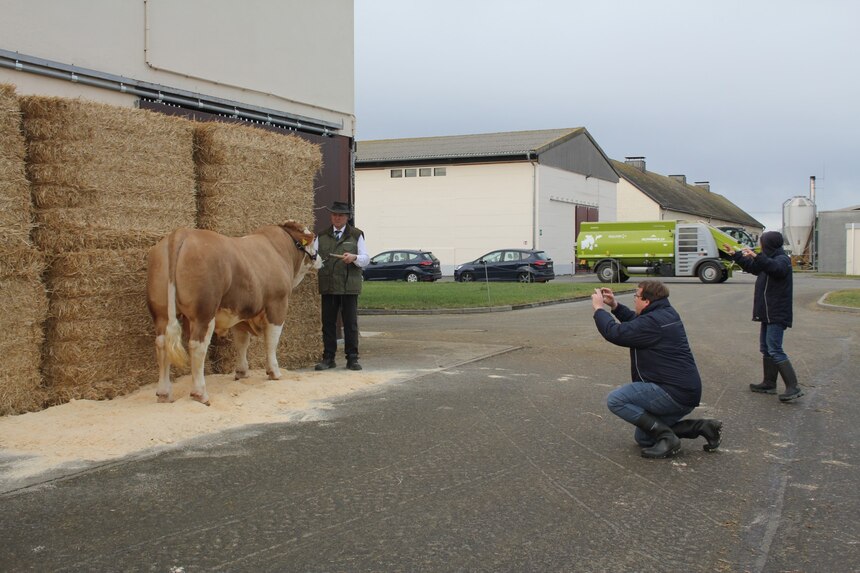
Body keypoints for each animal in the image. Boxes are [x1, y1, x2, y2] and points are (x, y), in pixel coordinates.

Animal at [146, 221, 320, 404]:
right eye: (313, 241)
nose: (319, 259)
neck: (278, 249)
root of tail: (181, 233)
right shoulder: (277, 303)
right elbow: (272, 339)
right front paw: (274, 372)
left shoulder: (240, 313)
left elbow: (241, 342)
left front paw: (241, 372)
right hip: (204, 312)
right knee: (197, 346)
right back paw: (200, 393)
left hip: (161, 313)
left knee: (162, 344)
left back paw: (164, 393)